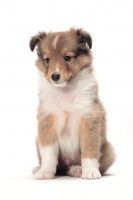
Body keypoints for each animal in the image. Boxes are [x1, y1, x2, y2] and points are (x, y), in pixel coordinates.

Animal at [29, 27, 115, 180]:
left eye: (67, 57)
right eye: (47, 59)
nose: (55, 76)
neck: (65, 90)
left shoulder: (89, 120)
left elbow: (89, 150)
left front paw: (90, 172)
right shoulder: (46, 121)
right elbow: (48, 152)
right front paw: (45, 172)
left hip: (109, 150)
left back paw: (77, 169)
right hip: (37, 140)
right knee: (58, 166)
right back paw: (38, 168)